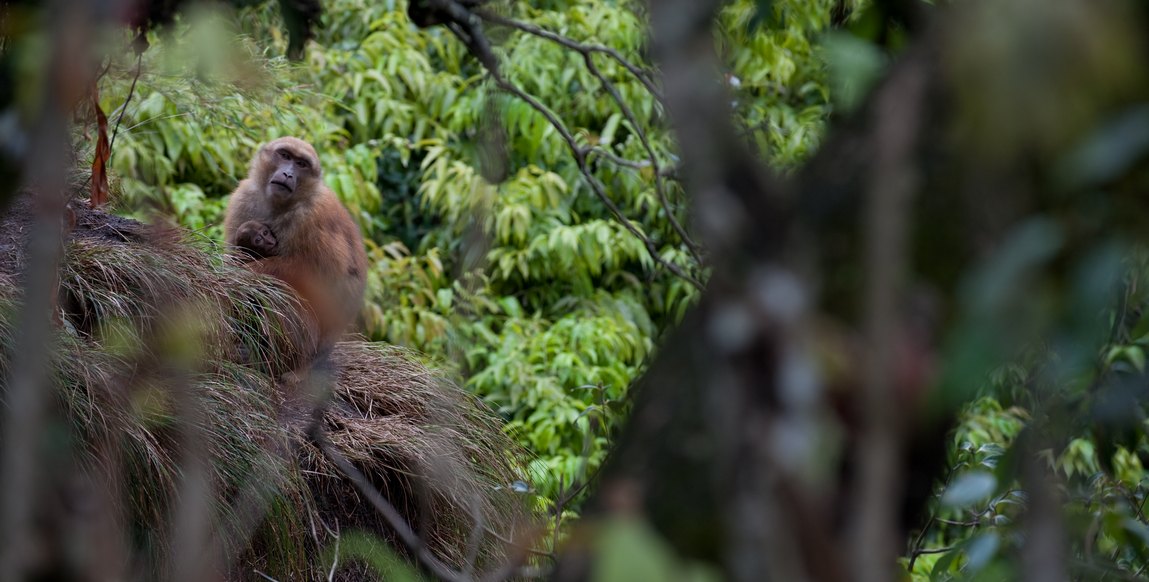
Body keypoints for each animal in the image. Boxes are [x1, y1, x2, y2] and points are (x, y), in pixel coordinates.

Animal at [224, 137, 367, 358]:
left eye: (301, 164)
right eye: (285, 155)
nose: (287, 174)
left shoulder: (315, 214)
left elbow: (329, 279)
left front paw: (247, 271)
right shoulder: (244, 197)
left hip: (307, 340)